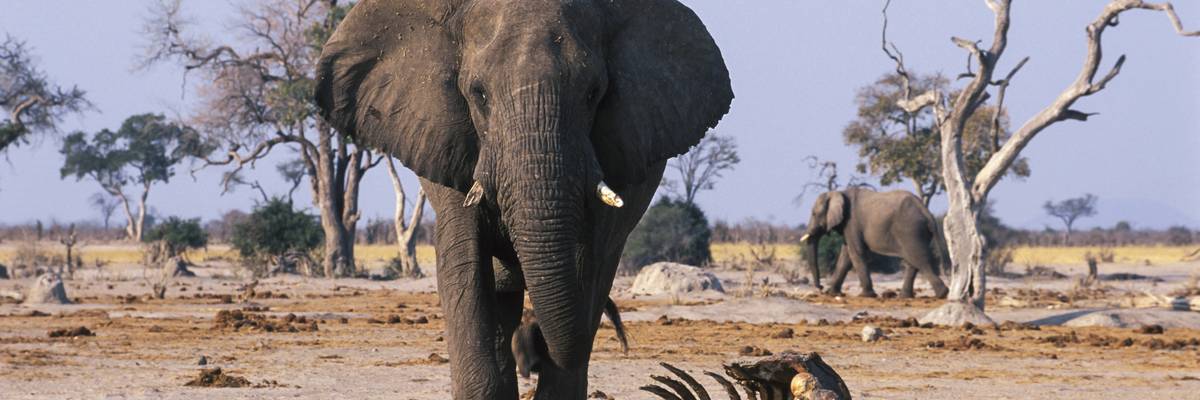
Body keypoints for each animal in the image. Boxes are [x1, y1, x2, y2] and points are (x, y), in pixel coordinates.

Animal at [800, 188, 950, 299]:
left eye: (814, 214)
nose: (820, 287)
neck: (839, 192)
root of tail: (926, 212)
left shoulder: (851, 222)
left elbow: (856, 254)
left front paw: (866, 295)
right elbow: (845, 257)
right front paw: (833, 293)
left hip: (910, 229)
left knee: (919, 259)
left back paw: (942, 294)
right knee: (913, 261)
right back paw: (904, 297)